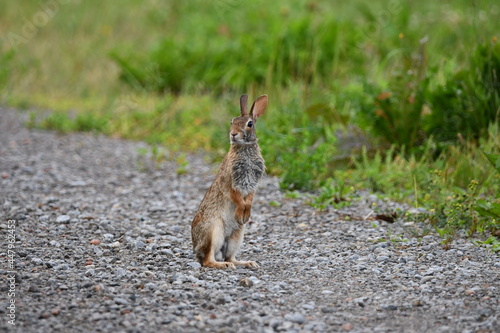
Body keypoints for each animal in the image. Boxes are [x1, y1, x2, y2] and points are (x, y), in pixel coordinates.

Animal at [191, 93, 270, 268]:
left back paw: (248, 263)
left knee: (229, 256)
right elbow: (237, 198)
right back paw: (223, 265)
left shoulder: (252, 185)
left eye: (249, 124)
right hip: (214, 231)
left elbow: (249, 199)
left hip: (237, 236)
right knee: (208, 260)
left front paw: (246, 214)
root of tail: (196, 248)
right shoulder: (230, 183)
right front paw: (241, 213)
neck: (245, 148)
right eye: (232, 122)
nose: (233, 134)